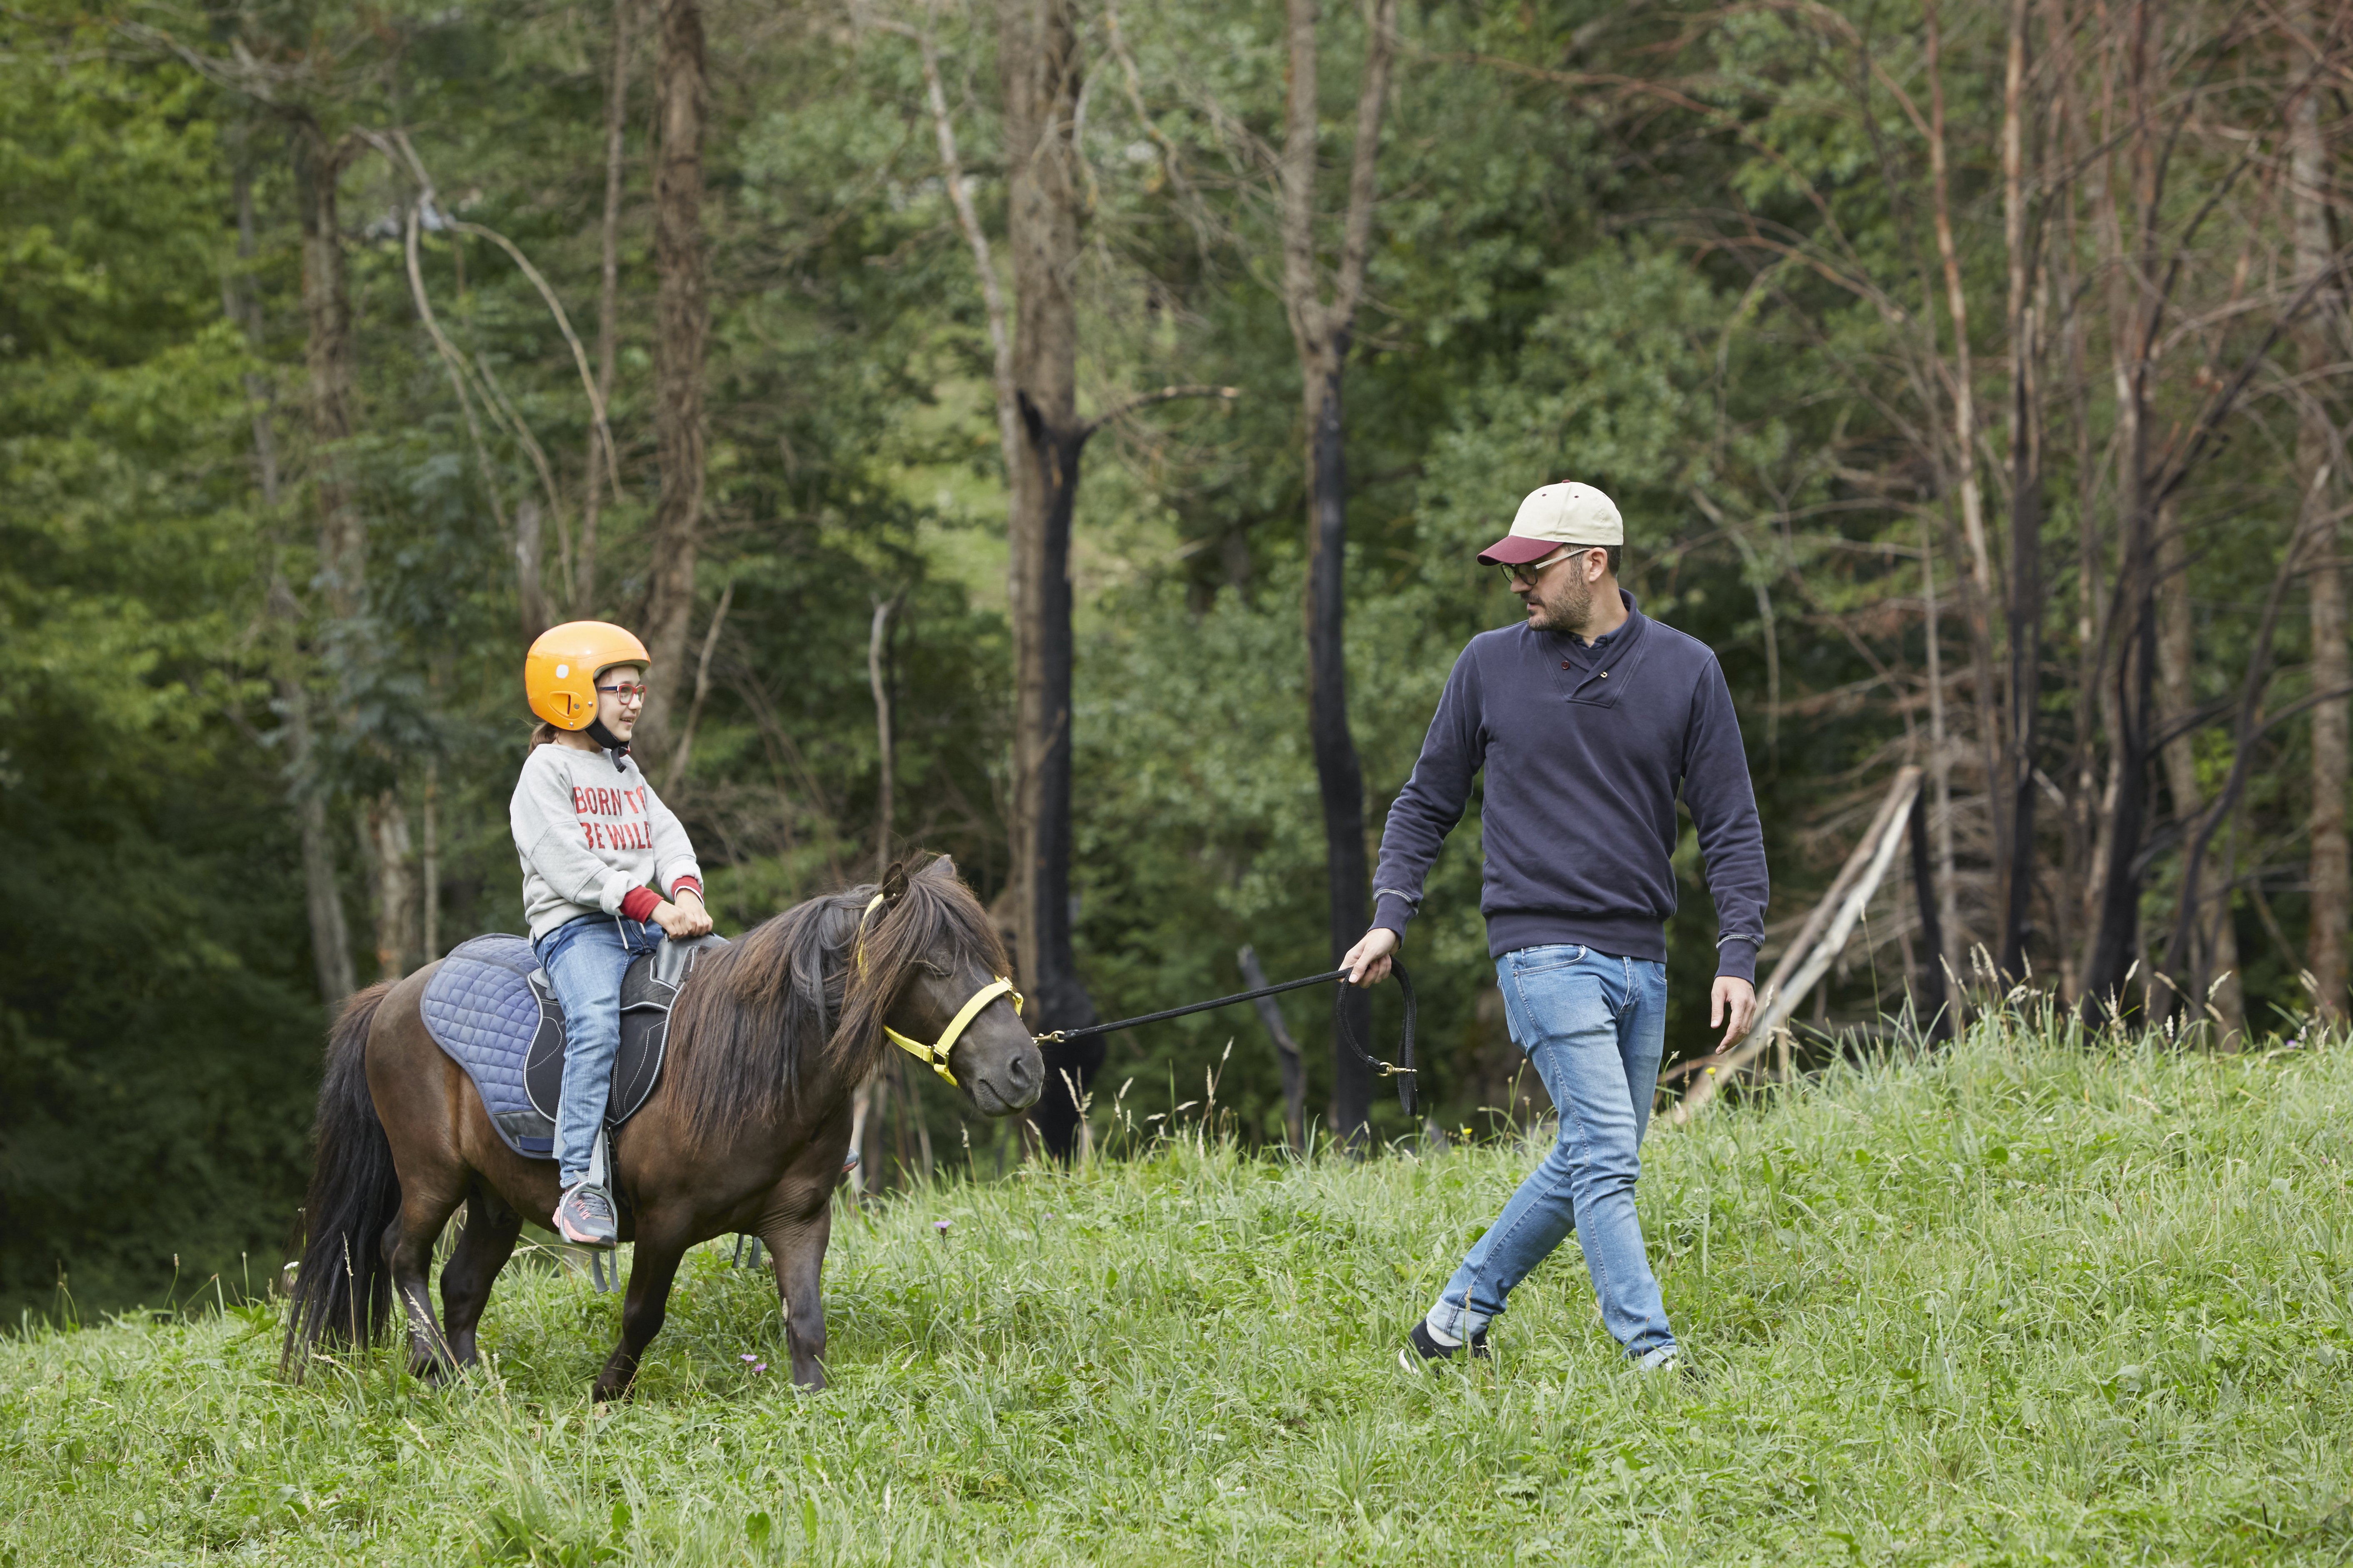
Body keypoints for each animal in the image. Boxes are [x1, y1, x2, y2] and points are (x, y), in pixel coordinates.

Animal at [285, 860, 1040, 1401]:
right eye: (933, 967)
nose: (1024, 1069)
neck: (754, 1061)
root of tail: (396, 994)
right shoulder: (665, 1221)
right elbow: (642, 1313)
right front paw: (605, 1393)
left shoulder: (798, 1218)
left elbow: (806, 1321)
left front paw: (811, 1400)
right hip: (431, 1174)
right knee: (400, 1253)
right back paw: (430, 1362)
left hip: (493, 1196)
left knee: (461, 1285)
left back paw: (474, 1384)